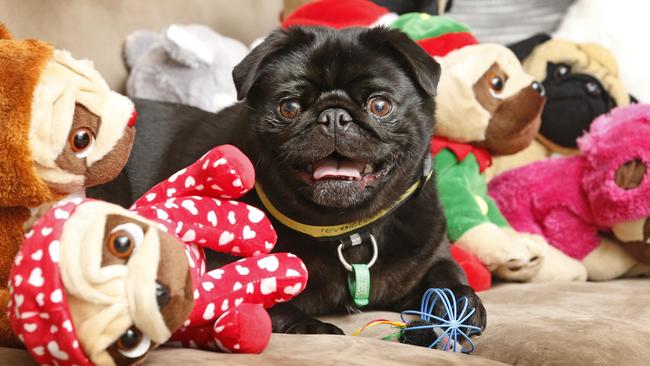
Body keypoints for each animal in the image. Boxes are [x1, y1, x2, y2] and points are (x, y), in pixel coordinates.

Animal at [92, 25, 486, 338]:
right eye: (289, 107)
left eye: (380, 106)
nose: (334, 115)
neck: (347, 231)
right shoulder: (219, 267)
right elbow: (262, 296)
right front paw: (313, 326)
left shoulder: (430, 260)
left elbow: (451, 277)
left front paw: (459, 309)